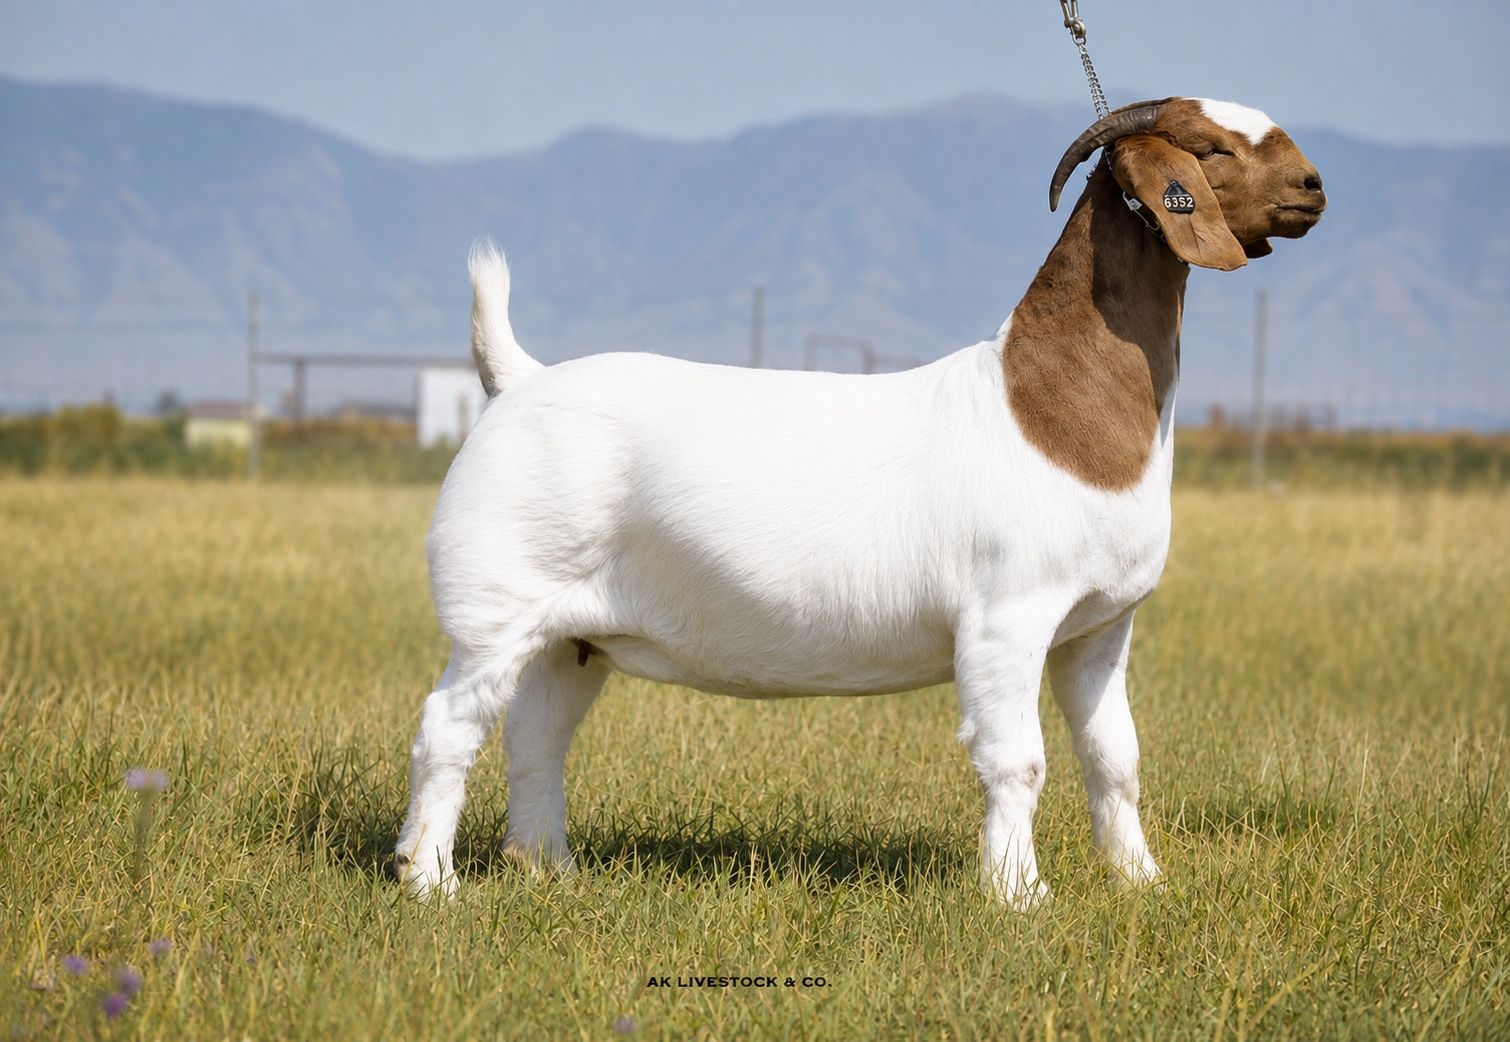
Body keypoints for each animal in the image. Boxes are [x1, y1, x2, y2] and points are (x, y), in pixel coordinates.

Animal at [393, 98, 1326, 909]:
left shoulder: (1097, 628)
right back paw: (432, 881)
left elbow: (1114, 758)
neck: (1047, 404)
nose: (1315, 186)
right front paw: (1019, 897)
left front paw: (1140, 881)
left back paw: (549, 868)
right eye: (1212, 148)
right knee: (449, 727)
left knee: (536, 737)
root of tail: (519, 380)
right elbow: (1016, 761)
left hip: (570, 637)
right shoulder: (1007, 620)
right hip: (495, 608)